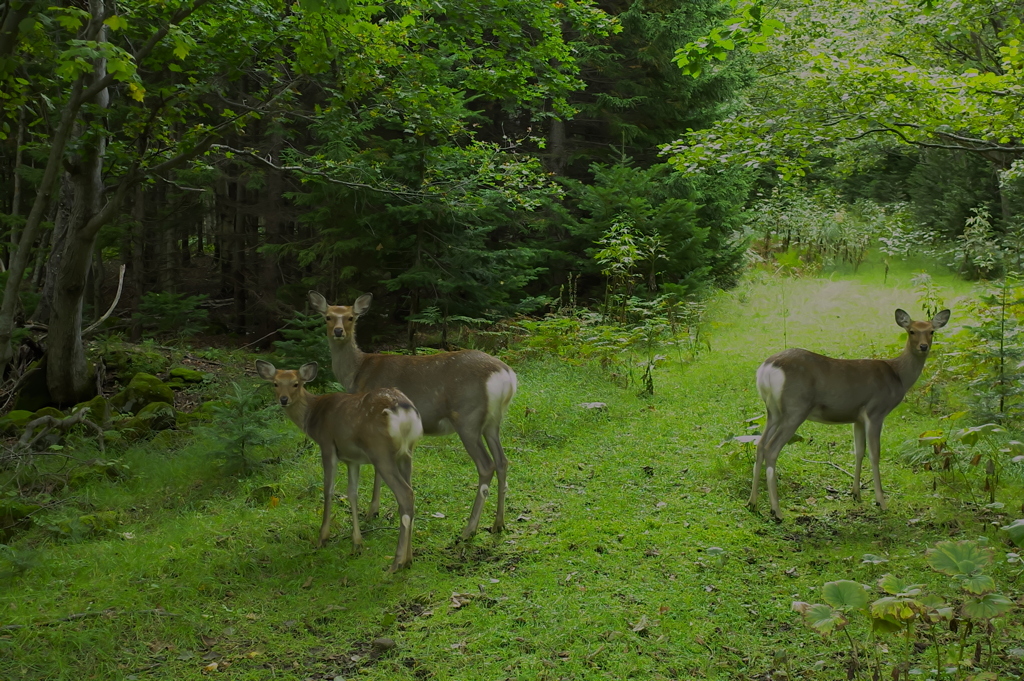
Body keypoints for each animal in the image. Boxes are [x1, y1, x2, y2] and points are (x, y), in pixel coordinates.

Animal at [256, 358, 423, 569]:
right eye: (275, 384)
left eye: (296, 384)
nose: (283, 399)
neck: (313, 413)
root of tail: (404, 412)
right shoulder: (352, 459)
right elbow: (352, 493)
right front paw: (357, 543)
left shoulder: (327, 444)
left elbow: (328, 490)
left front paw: (322, 538)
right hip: (407, 452)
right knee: (410, 493)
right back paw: (409, 558)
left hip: (380, 451)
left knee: (405, 494)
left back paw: (397, 562)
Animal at [301, 288, 512, 540]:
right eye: (328, 317)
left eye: (351, 317)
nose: (338, 331)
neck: (357, 372)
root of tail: (506, 375)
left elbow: (378, 472)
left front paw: (373, 510)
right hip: (492, 422)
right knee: (502, 461)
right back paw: (498, 523)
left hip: (467, 418)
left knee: (487, 465)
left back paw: (468, 530)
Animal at [745, 307, 950, 520]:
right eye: (911, 331)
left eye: (931, 331)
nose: (923, 346)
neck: (898, 376)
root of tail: (766, 369)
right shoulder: (875, 411)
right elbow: (874, 454)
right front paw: (881, 501)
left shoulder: (857, 418)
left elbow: (859, 451)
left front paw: (856, 493)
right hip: (796, 408)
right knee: (771, 448)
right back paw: (776, 511)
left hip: (773, 411)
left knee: (760, 444)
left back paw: (752, 503)